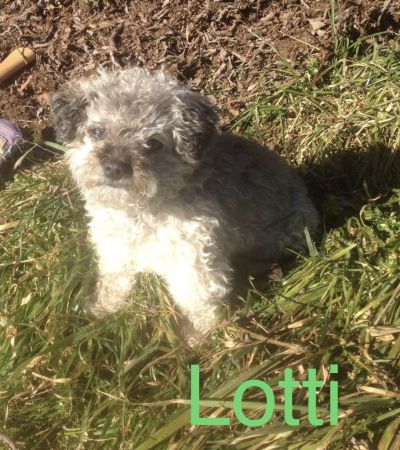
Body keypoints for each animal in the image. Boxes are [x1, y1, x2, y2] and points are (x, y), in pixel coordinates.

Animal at [50, 68, 319, 342]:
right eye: (97, 131)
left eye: (154, 143)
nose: (114, 167)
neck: (142, 210)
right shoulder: (115, 247)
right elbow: (114, 279)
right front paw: (101, 308)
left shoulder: (194, 259)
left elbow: (198, 300)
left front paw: (198, 337)